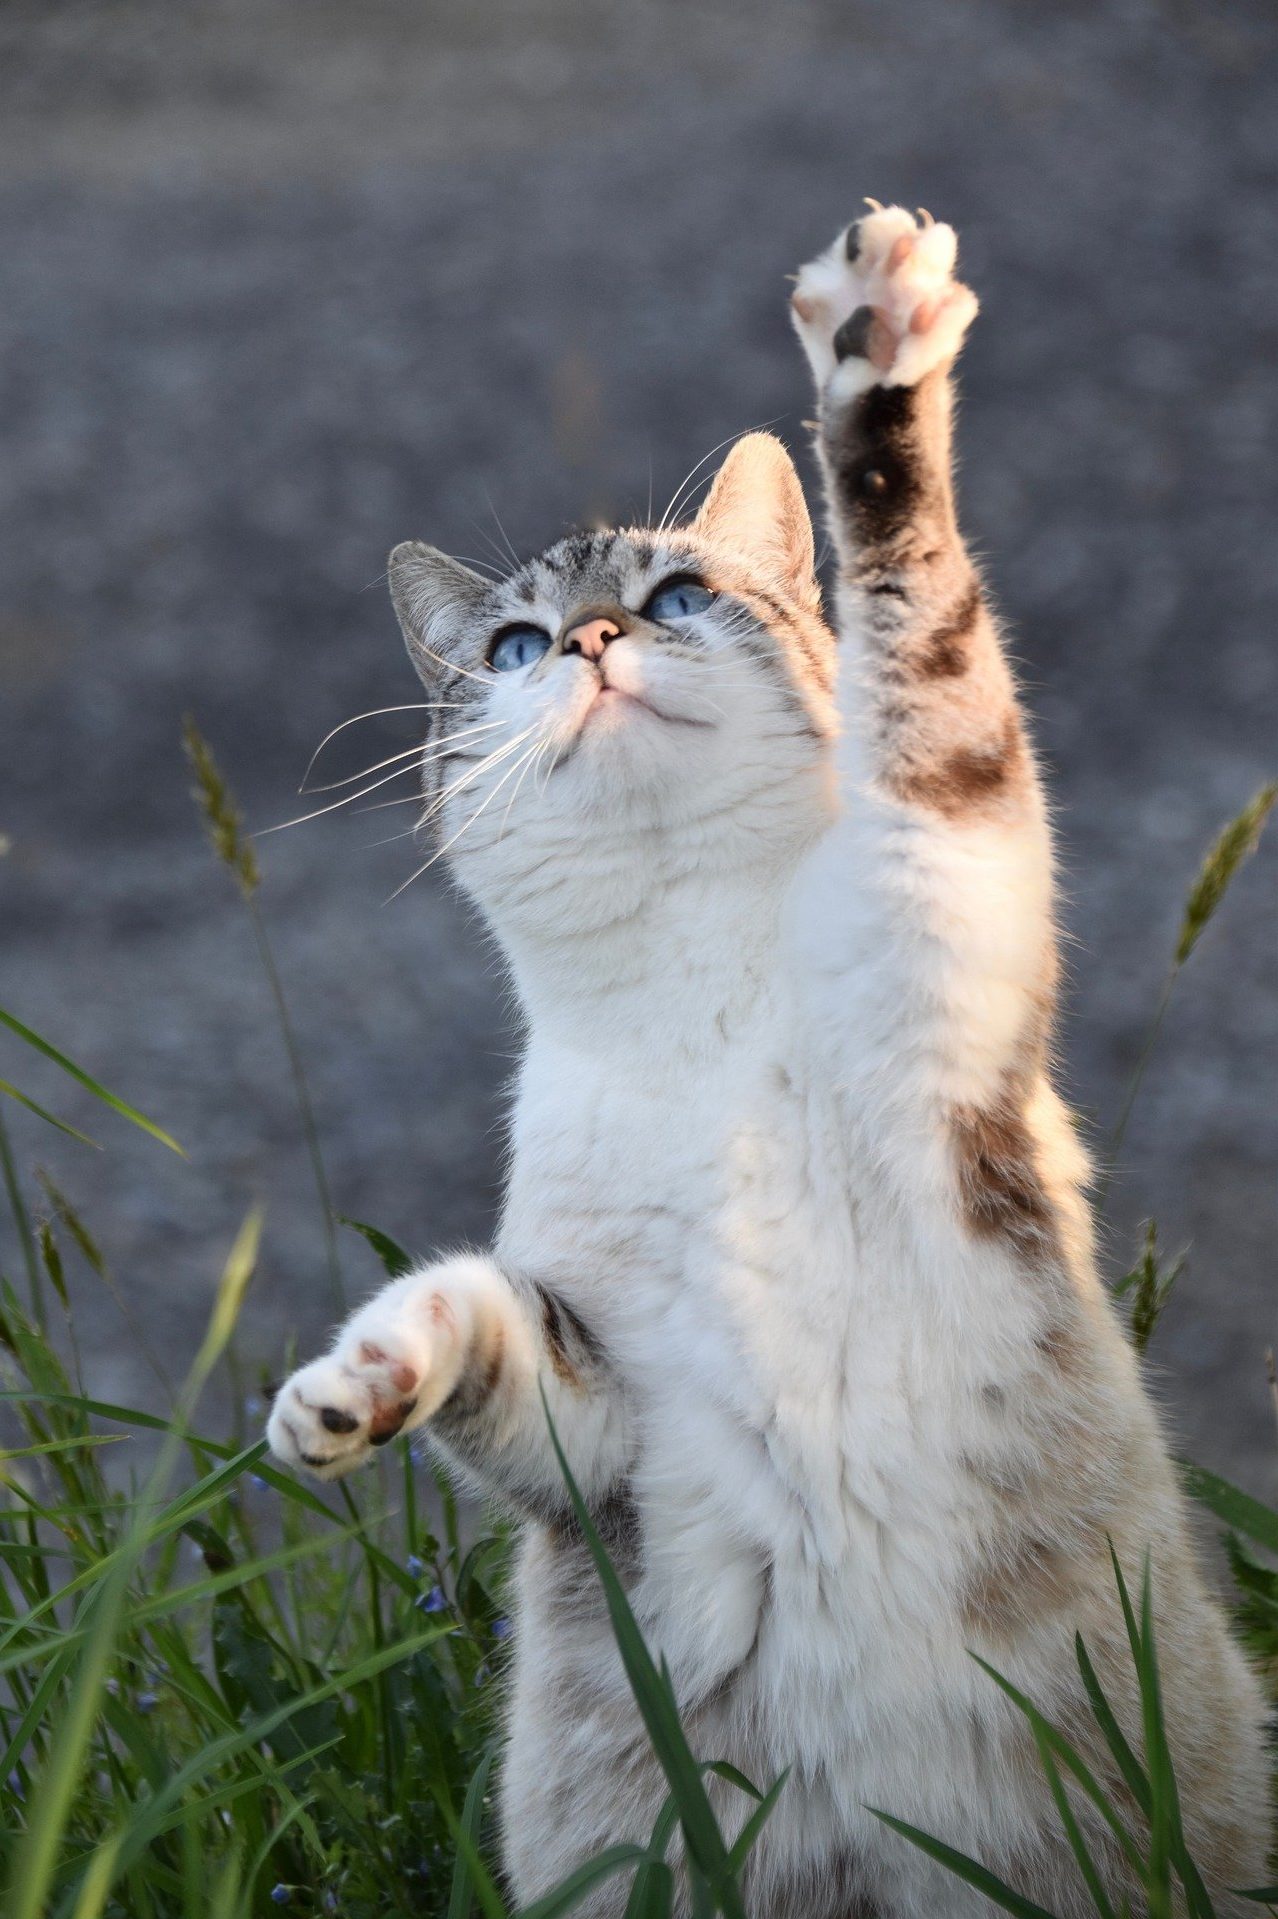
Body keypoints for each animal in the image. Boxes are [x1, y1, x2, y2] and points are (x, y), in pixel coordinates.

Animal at [266, 202, 1266, 1911]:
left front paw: (875, 355)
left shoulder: (943, 866)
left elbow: (911, 602)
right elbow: (469, 1307)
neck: (695, 989)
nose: (593, 639)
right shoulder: (605, 1429)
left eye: (675, 601)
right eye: (516, 644)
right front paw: (350, 1389)